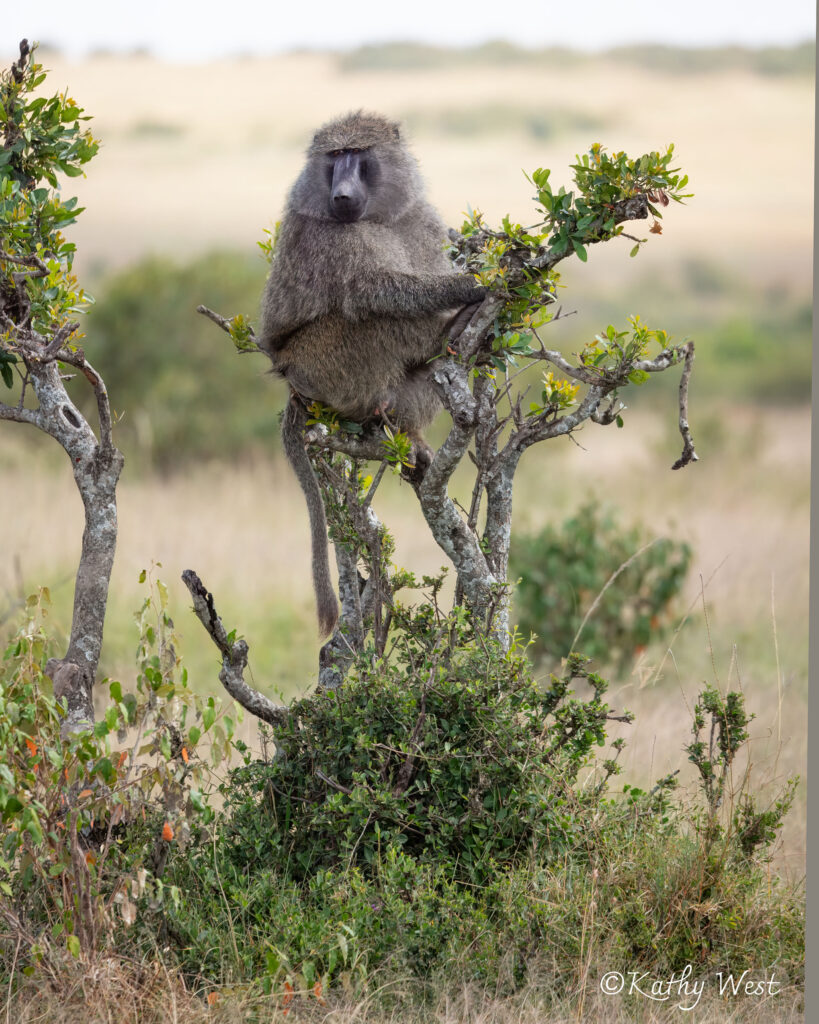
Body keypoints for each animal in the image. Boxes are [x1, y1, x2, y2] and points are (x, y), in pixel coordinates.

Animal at [258, 111, 486, 638]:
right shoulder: (334, 241)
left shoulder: (420, 221)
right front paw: (470, 284)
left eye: (359, 156)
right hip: (322, 365)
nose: (341, 196)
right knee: (366, 312)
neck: (378, 218)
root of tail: (292, 383)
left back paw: (411, 432)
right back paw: (445, 330)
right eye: (333, 157)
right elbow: (381, 290)